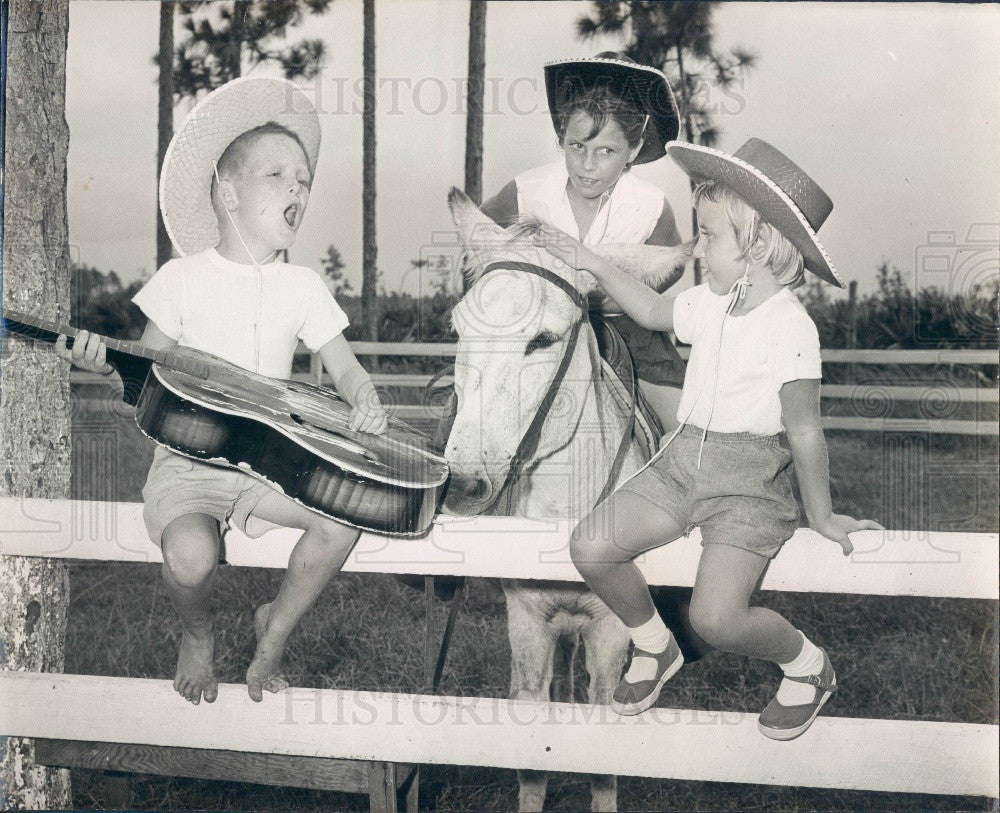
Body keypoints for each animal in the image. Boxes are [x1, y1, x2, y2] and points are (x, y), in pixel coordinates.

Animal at [442, 187, 692, 808]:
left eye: (543, 339)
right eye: (458, 329)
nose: (462, 483)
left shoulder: (611, 630)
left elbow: (601, 755)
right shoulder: (529, 623)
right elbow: (534, 750)